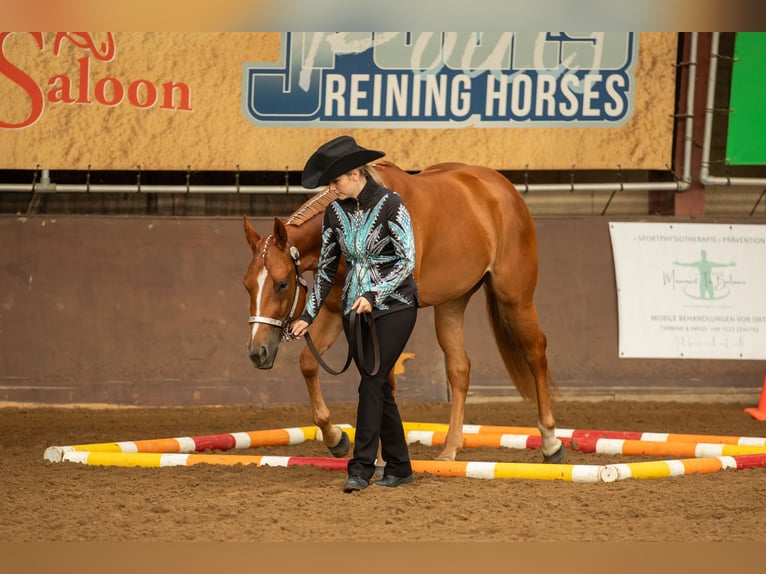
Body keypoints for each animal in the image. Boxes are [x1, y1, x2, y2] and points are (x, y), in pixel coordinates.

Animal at [243, 160, 568, 466]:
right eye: (247, 285)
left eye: (282, 283)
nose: (257, 353)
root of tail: (502, 187)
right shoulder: (337, 310)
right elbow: (309, 364)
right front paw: (337, 439)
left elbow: (385, 379)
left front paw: (378, 458)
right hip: (451, 303)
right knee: (459, 369)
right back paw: (450, 449)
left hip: (515, 298)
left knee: (535, 352)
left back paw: (551, 442)